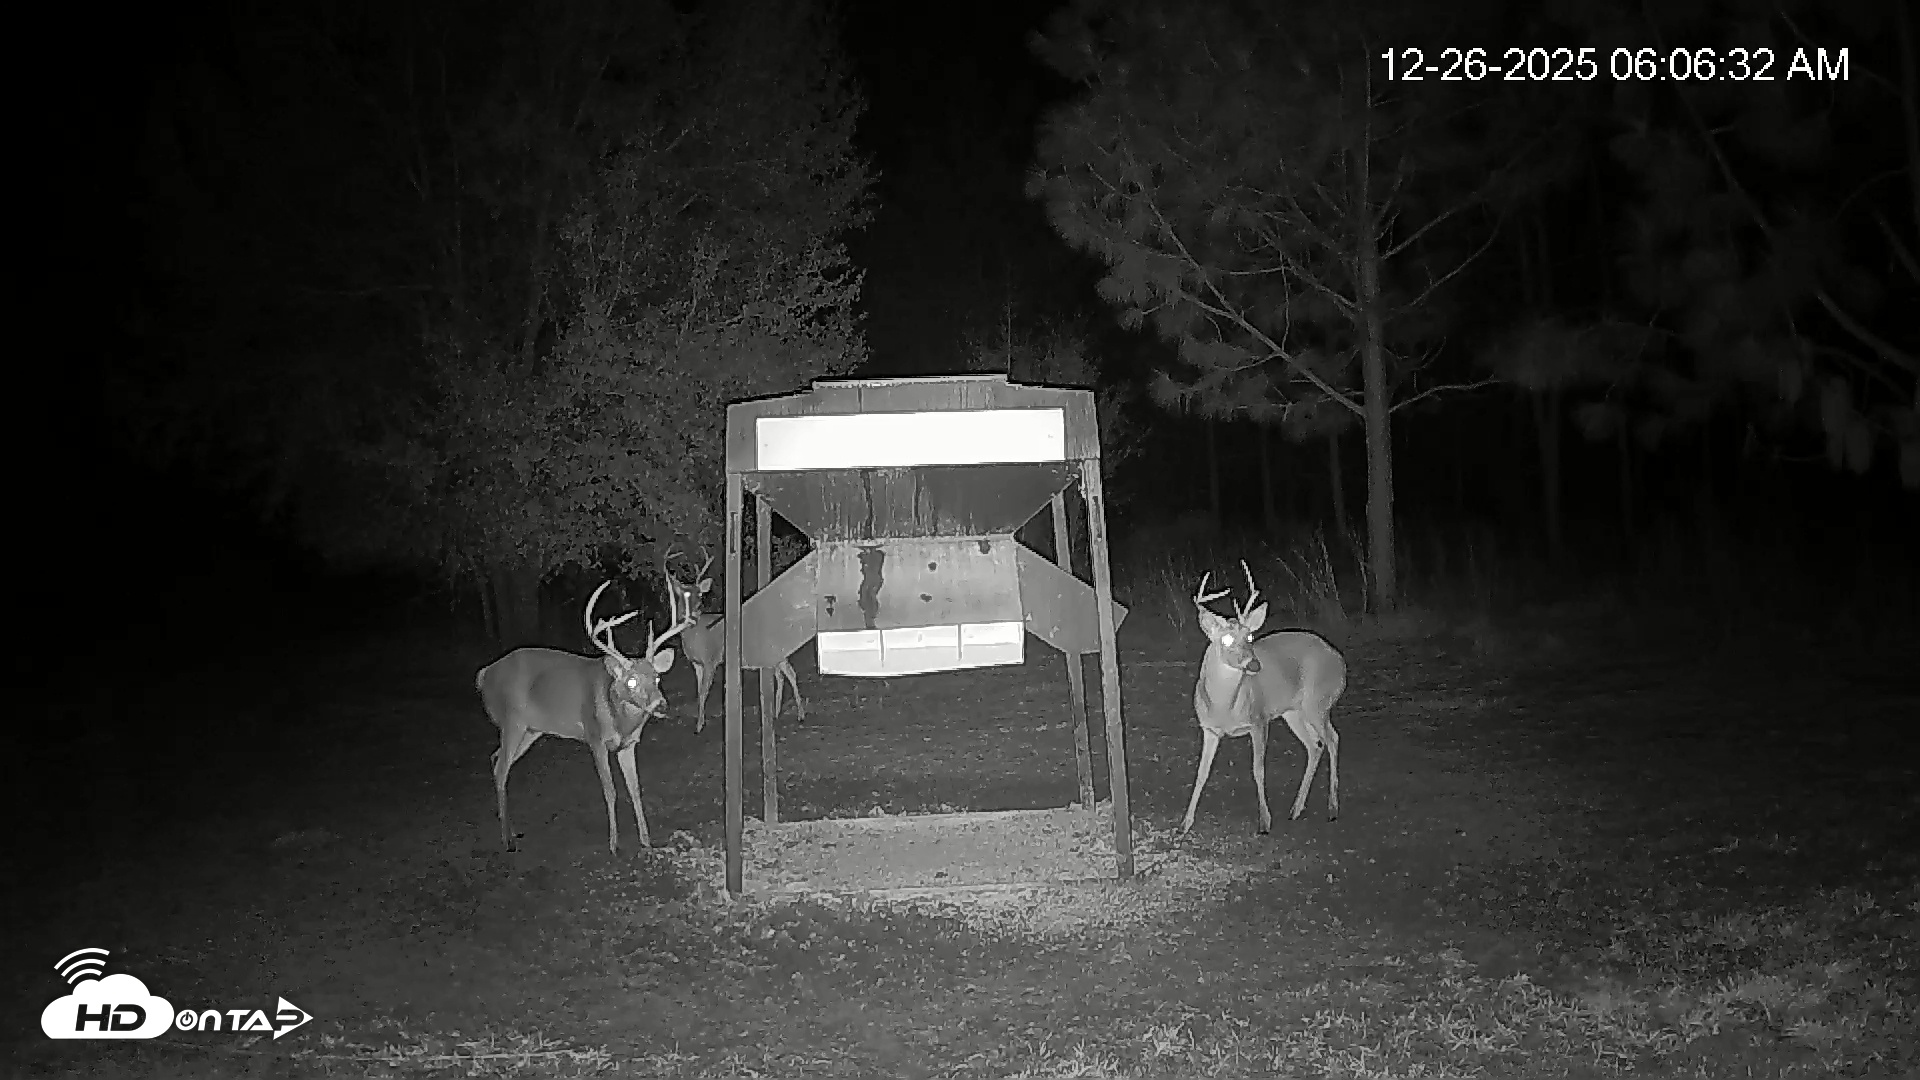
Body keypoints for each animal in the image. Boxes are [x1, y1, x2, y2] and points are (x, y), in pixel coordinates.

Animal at [474, 580, 696, 855]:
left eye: (656, 677)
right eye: (631, 681)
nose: (661, 705)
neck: (620, 721)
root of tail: (484, 674)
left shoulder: (628, 745)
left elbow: (635, 790)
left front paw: (646, 841)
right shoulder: (594, 738)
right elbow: (610, 790)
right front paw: (613, 844)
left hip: (531, 730)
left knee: (496, 759)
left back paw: (511, 830)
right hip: (512, 721)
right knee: (501, 768)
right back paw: (507, 840)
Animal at [659, 543, 805, 734]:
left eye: (700, 594)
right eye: (683, 597)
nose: (695, 610)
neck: (695, 637)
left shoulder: (711, 659)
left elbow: (704, 692)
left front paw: (699, 726)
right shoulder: (696, 663)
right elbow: (698, 692)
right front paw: (700, 721)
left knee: (790, 674)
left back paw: (800, 715)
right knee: (782, 675)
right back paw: (776, 713)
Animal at [1181, 560, 1348, 835]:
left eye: (1249, 636)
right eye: (1226, 638)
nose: (1254, 664)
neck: (1224, 708)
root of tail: (1340, 660)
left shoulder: (1259, 721)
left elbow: (1258, 770)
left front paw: (1264, 822)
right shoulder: (1209, 729)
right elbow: (1201, 773)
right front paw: (1184, 823)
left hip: (1318, 702)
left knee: (1333, 739)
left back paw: (1332, 809)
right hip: (1293, 711)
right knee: (1315, 745)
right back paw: (1296, 809)